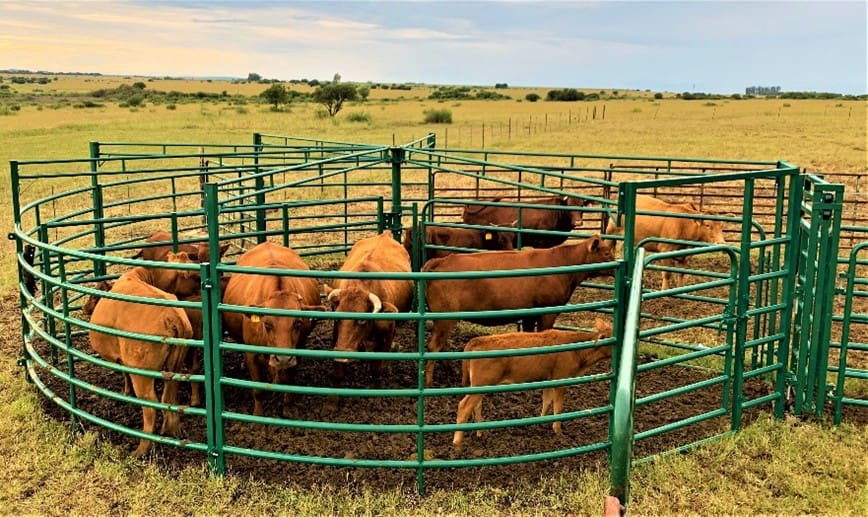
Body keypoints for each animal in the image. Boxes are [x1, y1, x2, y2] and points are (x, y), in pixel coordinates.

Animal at [87, 251, 199, 457]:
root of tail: (171, 316)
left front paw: (126, 392)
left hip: (142, 373)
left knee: (150, 406)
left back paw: (141, 449)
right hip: (174, 366)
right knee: (168, 398)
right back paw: (171, 430)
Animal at [222, 242, 327, 416]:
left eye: (298, 323)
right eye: (267, 324)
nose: (282, 359)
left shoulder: (297, 351)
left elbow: (289, 379)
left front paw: (288, 408)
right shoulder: (251, 354)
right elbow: (257, 389)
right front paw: (258, 413)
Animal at [323, 231, 414, 379]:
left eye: (362, 320)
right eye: (337, 318)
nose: (342, 355)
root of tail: (385, 234)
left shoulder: (389, 330)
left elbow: (378, 365)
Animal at [422, 234, 615, 386]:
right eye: (606, 253)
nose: (616, 263)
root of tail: (441, 261)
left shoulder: (530, 313)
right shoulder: (548, 311)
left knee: (441, 343)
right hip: (445, 318)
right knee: (434, 345)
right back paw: (429, 382)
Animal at [453, 317, 613, 448]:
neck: (577, 351)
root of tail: (477, 340)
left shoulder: (548, 380)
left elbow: (547, 401)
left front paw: (541, 421)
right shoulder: (560, 380)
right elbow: (558, 407)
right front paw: (558, 432)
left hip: (478, 386)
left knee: (476, 405)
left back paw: (480, 432)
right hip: (482, 383)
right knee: (464, 406)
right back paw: (457, 442)